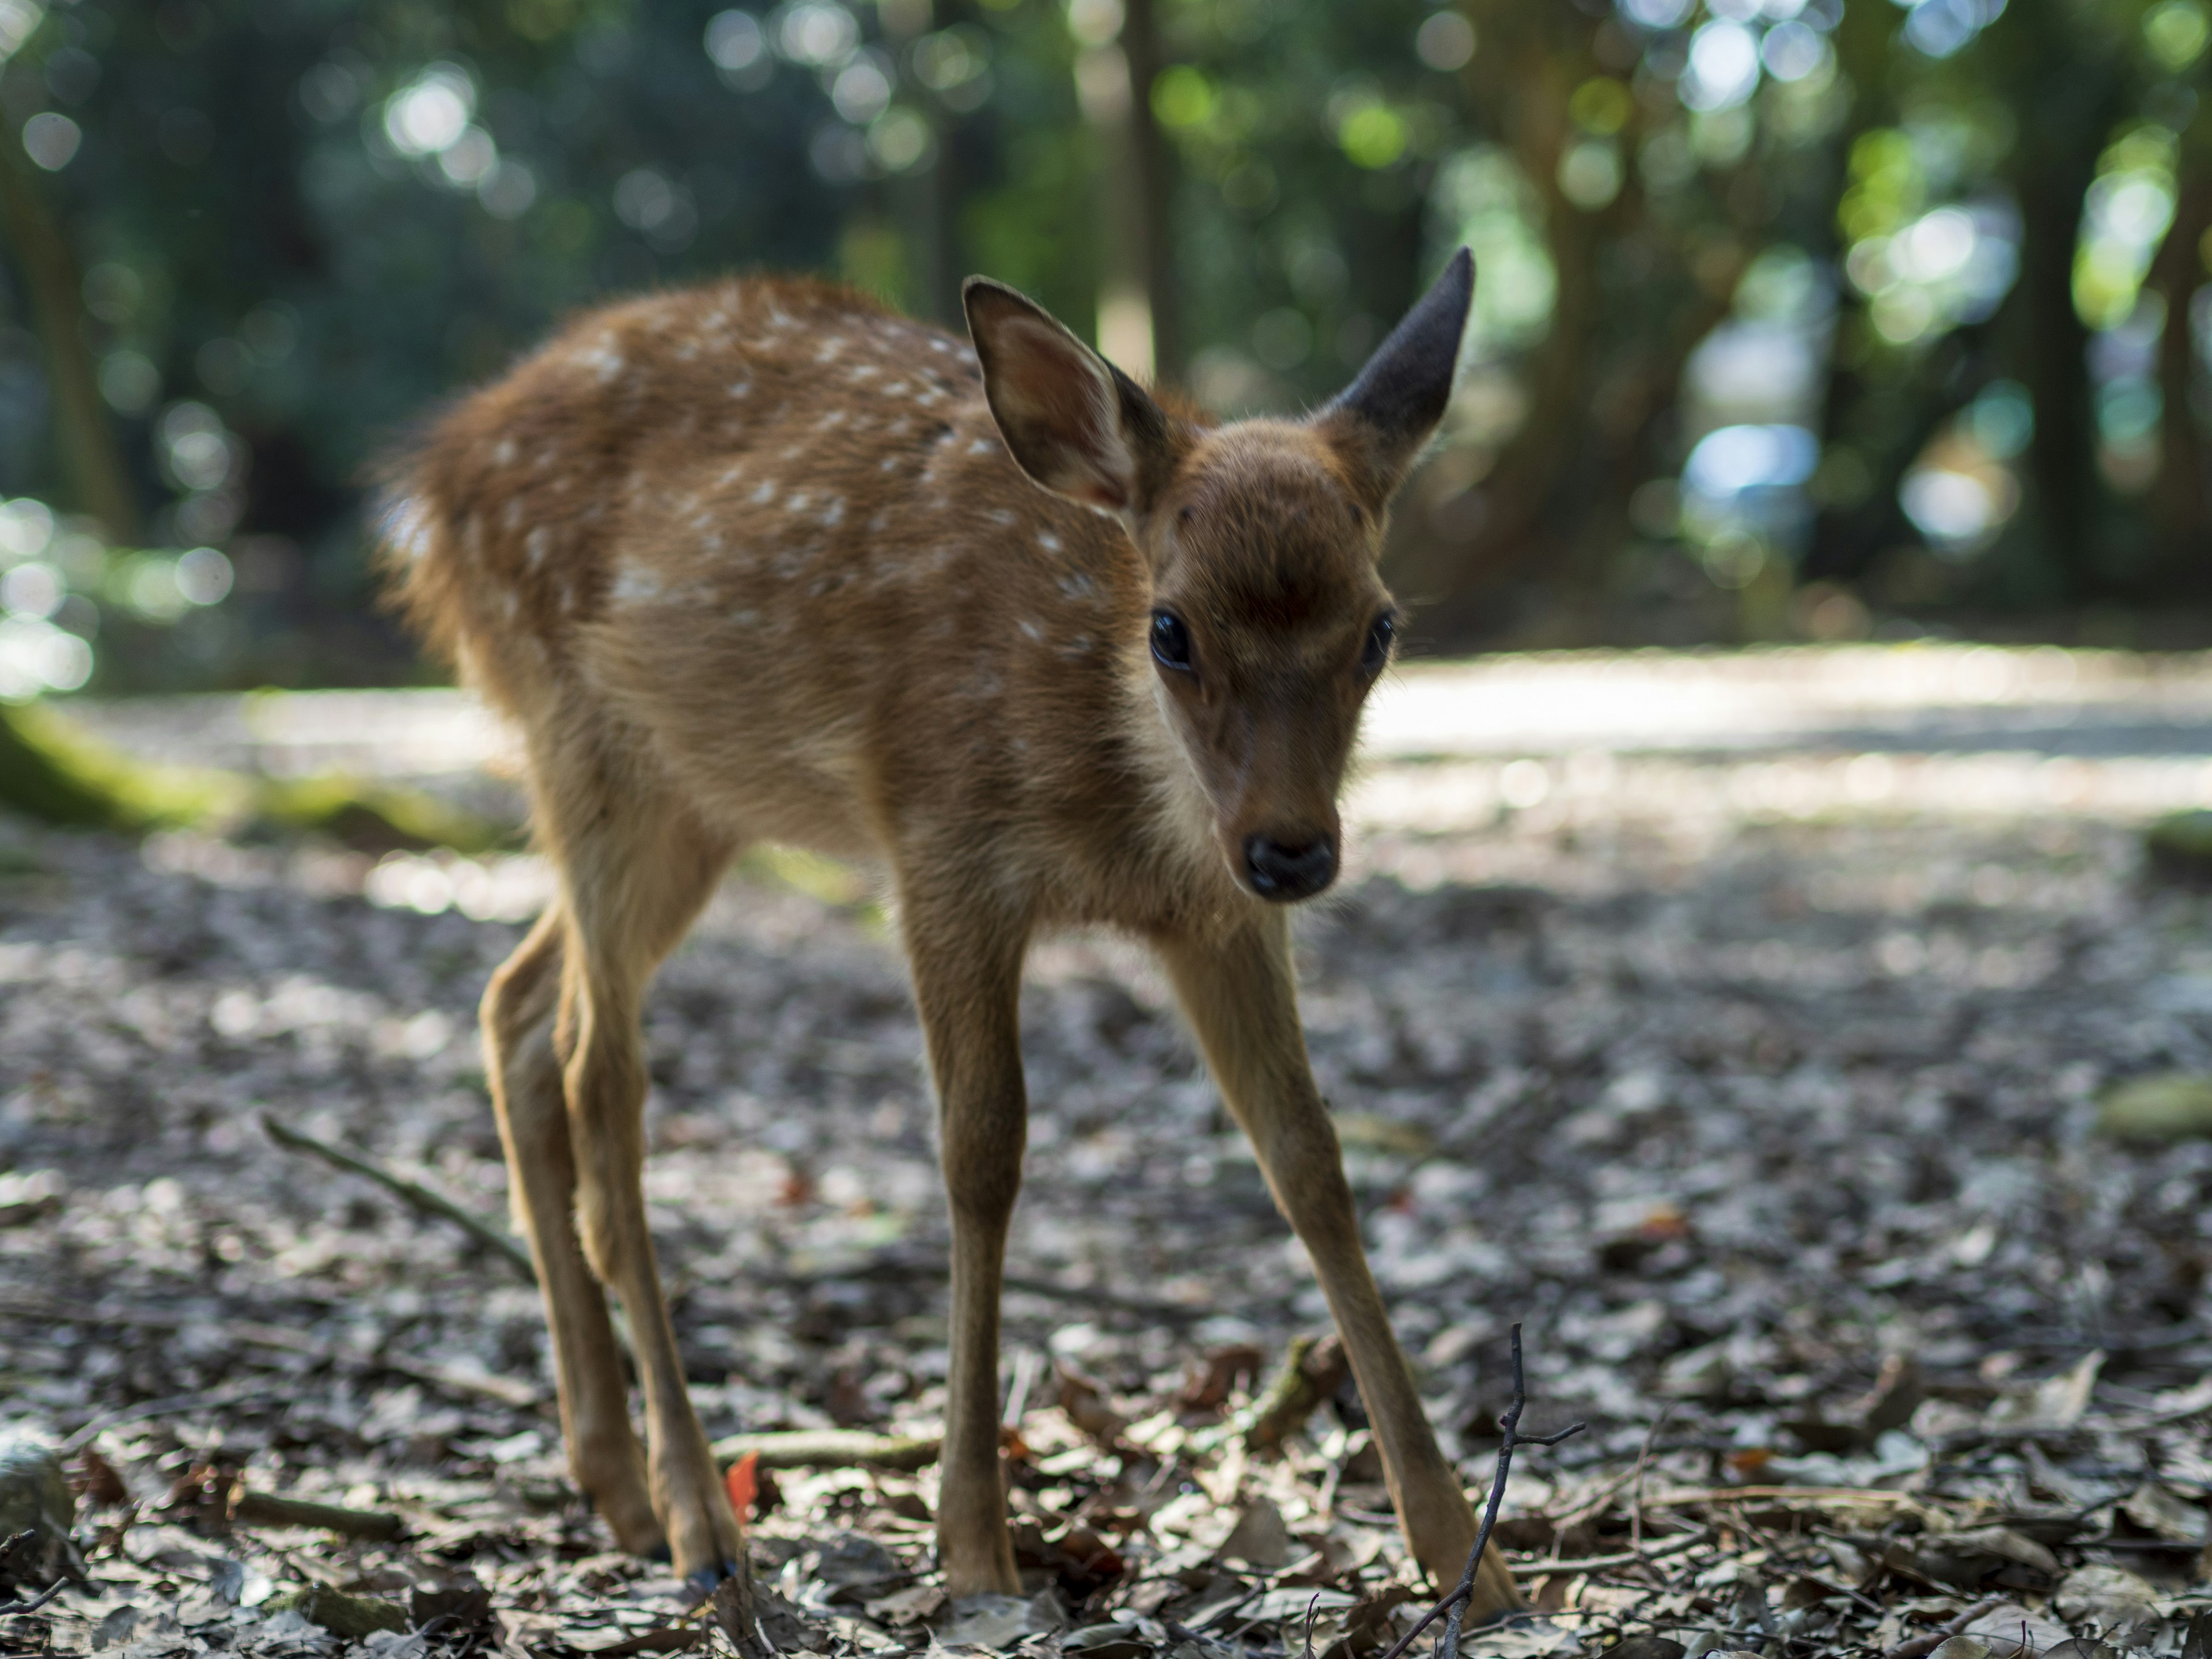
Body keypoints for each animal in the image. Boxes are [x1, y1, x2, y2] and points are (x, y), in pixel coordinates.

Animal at [385, 249, 1521, 1628]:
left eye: (1380, 627)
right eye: (1173, 628)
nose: (1293, 850)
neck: (1123, 814)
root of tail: (437, 476)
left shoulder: (1216, 921)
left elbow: (1310, 1160)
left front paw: (1468, 1554)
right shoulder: (940, 846)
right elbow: (982, 1152)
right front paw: (974, 1544)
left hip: (691, 807)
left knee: (513, 1005)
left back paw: (609, 1478)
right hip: (582, 740)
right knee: (600, 1081)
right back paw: (701, 1519)